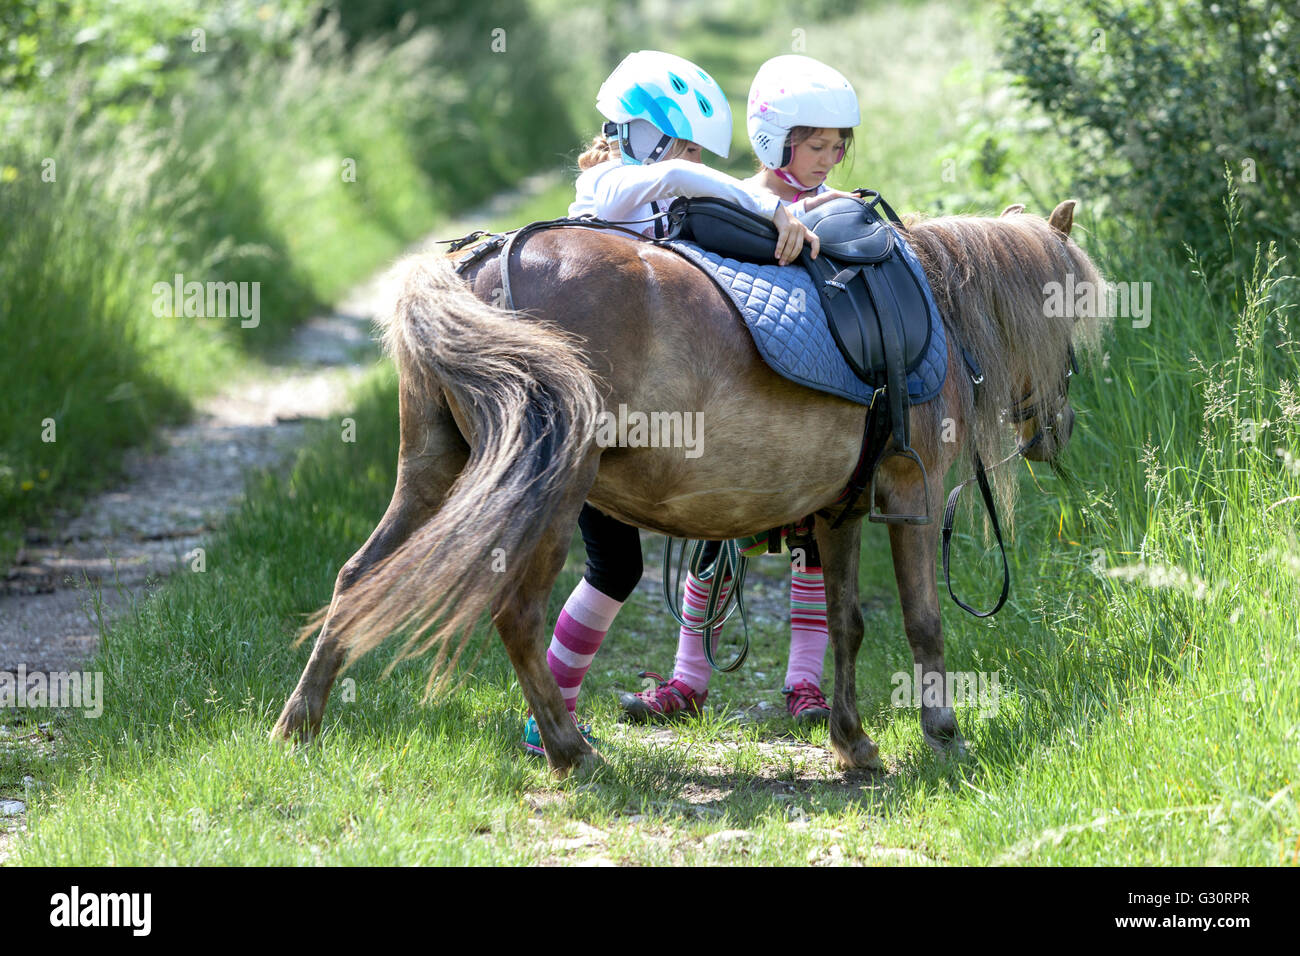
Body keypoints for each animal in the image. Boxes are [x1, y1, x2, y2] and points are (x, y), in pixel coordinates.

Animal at [271, 200, 1107, 780]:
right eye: (1070, 329)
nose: (1060, 429)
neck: (933, 309)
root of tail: (482, 263)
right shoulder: (913, 501)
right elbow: (923, 623)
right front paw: (943, 734)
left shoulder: (837, 516)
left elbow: (847, 626)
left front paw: (853, 741)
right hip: (551, 493)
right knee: (518, 615)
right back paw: (571, 751)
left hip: (432, 474)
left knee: (357, 577)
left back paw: (299, 723)